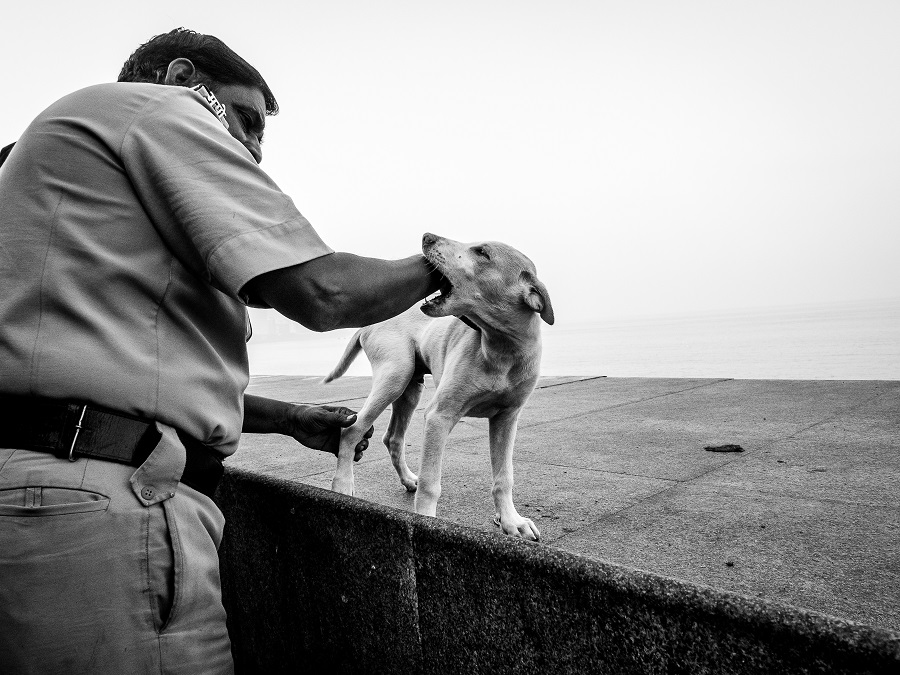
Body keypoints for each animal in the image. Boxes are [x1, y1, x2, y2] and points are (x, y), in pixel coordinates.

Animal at [324, 235, 548, 540]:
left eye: (482, 252)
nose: (427, 236)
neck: (501, 350)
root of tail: (369, 323)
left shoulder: (507, 418)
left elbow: (504, 477)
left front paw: (512, 521)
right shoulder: (439, 416)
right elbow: (432, 483)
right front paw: (427, 522)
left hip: (410, 387)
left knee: (392, 438)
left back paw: (408, 479)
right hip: (395, 374)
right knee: (352, 430)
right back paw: (343, 486)